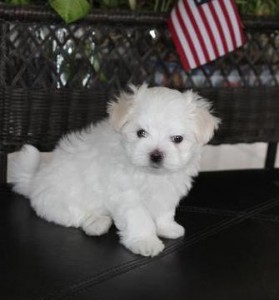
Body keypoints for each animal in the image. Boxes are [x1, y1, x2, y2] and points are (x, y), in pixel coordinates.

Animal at [9, 85, 221, 258]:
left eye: (177, 139)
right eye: (141, 133)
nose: (156, 154)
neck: (150, 175)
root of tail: (34, 182)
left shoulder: (167, 192)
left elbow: (165, 211)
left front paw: (167, 227)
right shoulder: (127, 195)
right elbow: (139, 219)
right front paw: (145, 241)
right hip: (61, 199)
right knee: (75, 214)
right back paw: (97, 223)